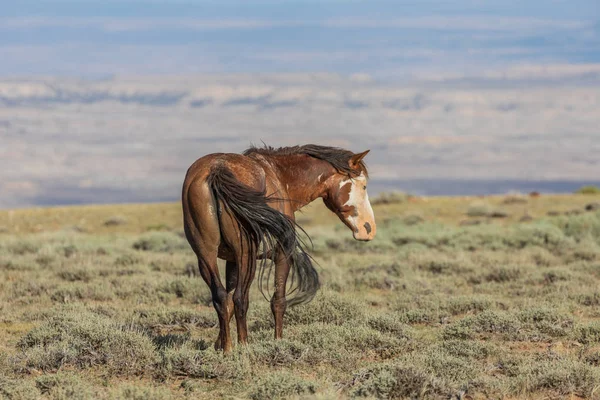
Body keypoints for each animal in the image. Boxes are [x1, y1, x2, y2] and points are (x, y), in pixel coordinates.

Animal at [180, 145, 376, 352]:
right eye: (364, 186)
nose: (369, 228)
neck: (279, 175)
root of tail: (217, 170)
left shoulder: (230, 261)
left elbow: (228, 300)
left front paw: (220, 344)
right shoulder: (282, 255)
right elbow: (278, 301)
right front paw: (279, 342)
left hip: (206, 256)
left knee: (221, 297)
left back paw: (229, 349)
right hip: (246, 256)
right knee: (241, 298)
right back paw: (244, 346)